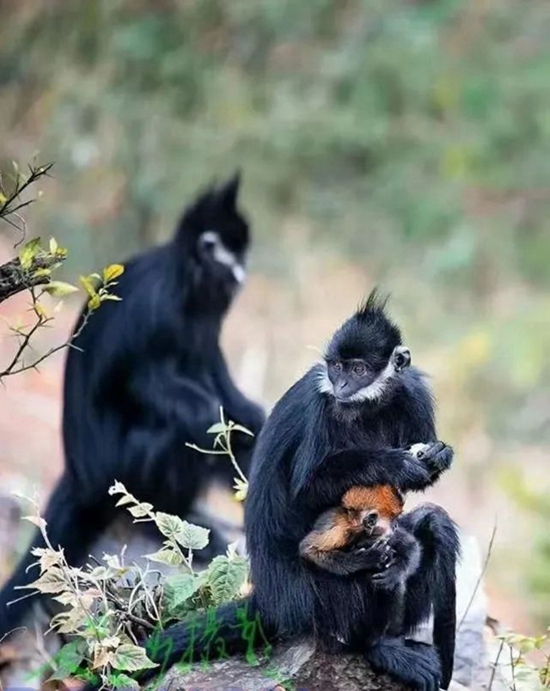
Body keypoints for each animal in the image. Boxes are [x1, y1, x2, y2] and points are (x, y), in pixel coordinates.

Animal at [0, 176, 266, 640]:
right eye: (232, 252)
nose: (241, 273)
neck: (186, 281)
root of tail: (79, 478)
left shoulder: (206, 326)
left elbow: (221, 385)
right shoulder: (162, 308)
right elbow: (157, 386)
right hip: (122, 472)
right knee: (177, 429)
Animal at [139, 292, 462, 691]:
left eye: (358, 370)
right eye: (337, 367)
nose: (341, 386)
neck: (366, 406)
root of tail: (272, 601)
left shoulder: (412, 393)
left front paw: (437, 457)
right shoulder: (320, 407)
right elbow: (307, 491)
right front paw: (395, 463)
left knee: (435, 525)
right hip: (323, 602)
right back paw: (377, 646)